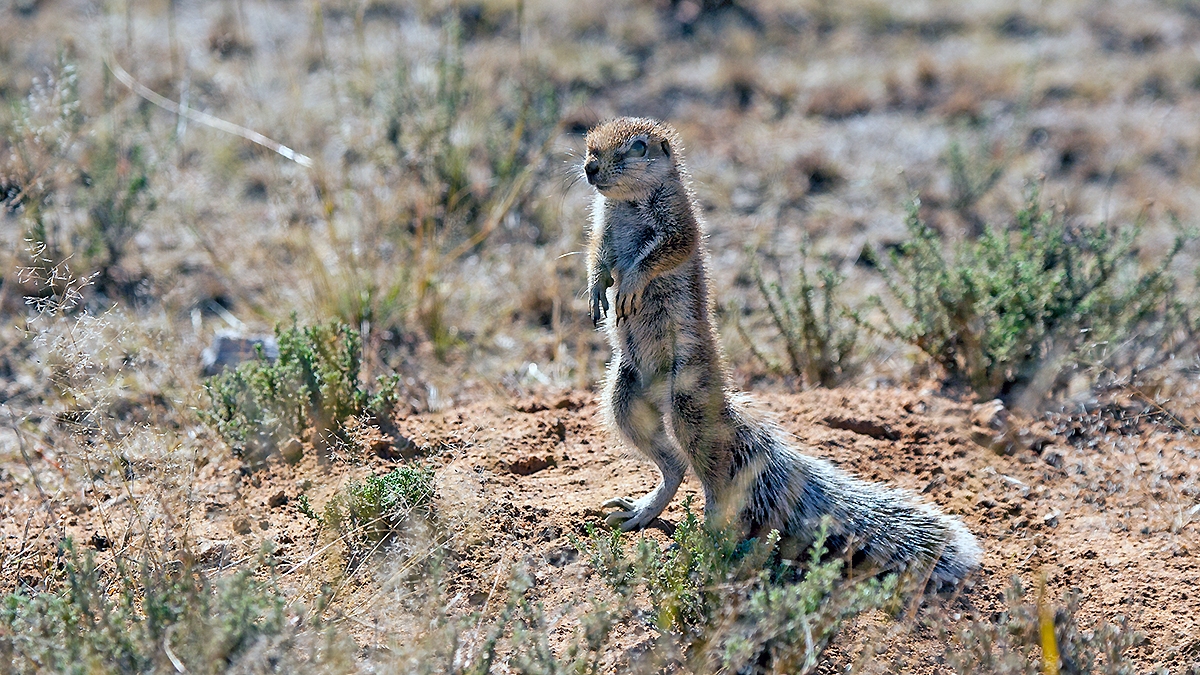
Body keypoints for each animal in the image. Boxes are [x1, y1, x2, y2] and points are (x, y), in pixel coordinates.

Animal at [582, 117, 981, 587]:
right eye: (588, 146)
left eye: (637, 148)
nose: (589, 169)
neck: (627, 203)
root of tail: (720, 403)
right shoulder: (602, 226)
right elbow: (596, 253)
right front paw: (596, 288)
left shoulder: (680, 223)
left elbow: (662, 254)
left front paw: (629, 282)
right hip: (624, 394)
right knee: (676, 464)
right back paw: (645, 510)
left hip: (687, 405)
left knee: (713, 471)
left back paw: (708, 534)